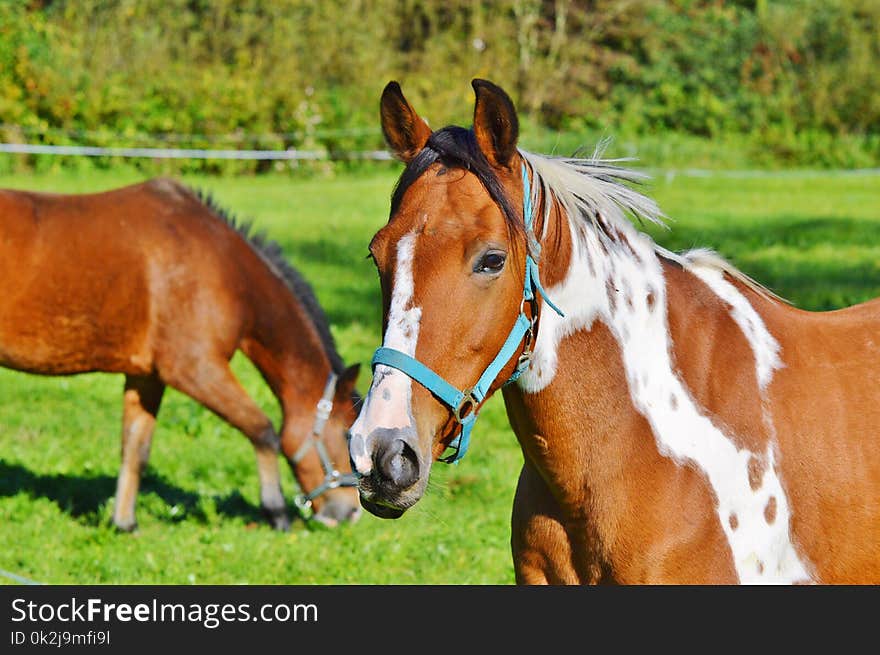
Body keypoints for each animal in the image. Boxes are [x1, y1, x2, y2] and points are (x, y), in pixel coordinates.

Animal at [0, 178, 360, 532]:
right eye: (346, 434)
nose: (351, 513)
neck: (222, 266)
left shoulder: (147, 376)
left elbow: (135, 448)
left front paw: (124, 523)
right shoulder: (195, 370)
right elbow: (263, 430)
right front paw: (276, 512)